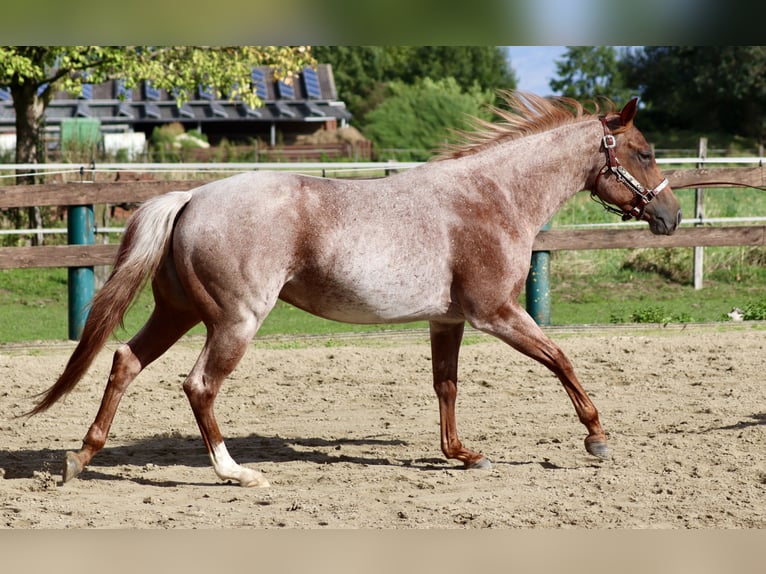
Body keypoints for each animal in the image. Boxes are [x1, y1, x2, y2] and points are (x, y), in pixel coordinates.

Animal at [28, 92, 681, 487]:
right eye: (645, 152)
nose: (670, 216)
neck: (492, 198)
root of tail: (191, 196)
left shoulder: (448, 320)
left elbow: (446, 386)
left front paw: (463, 454)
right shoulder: (497, 313)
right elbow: (561, 359)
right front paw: (596, 437)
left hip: (177, 312)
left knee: (123, 361)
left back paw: (78, 459)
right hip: (235, 322)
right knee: (198, 385)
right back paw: (236, 473)